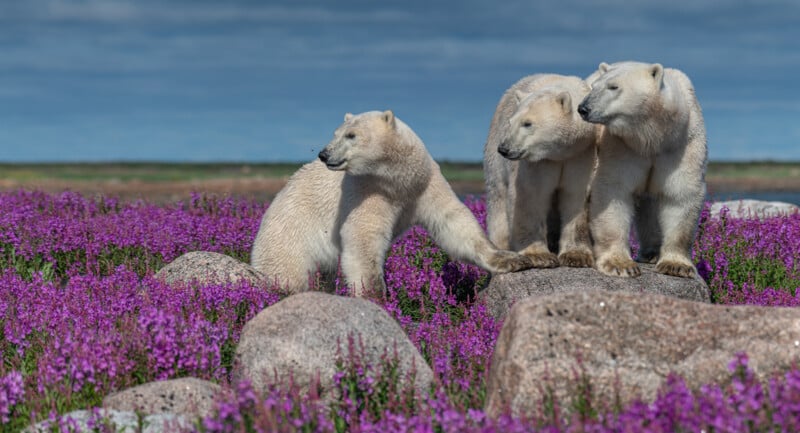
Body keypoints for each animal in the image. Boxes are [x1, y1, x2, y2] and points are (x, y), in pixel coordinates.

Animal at [253, 109, 536, 296]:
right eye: (336, 133)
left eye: (351, 135)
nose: (324, 153)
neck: (399, 180)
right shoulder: (367, 190)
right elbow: (362, 239)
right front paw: (376, 298)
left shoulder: (425, 184)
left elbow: (454, 224)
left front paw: (512, 260)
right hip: (290, 241)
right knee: (290, 276)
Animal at [482, 74, 600, 266]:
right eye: (511, 122)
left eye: (527, 123)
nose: (504, 148)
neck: (561, 153)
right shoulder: (538, 162)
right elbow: (530, 196)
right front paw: (539, 255)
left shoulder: (583, 154)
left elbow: (577, 197)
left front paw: (577, 256)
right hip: (493, 158)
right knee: (498, 197)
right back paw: (502, 246)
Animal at [576, 60, 708, 276]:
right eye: (594, 87)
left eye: (614, 86)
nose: (583, 108)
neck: (652, 138)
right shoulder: (619, 146)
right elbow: (613, 190)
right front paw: (620, 264)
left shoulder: (682, 145)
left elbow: (680, 194)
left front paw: (676, 265)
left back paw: (652, 252)